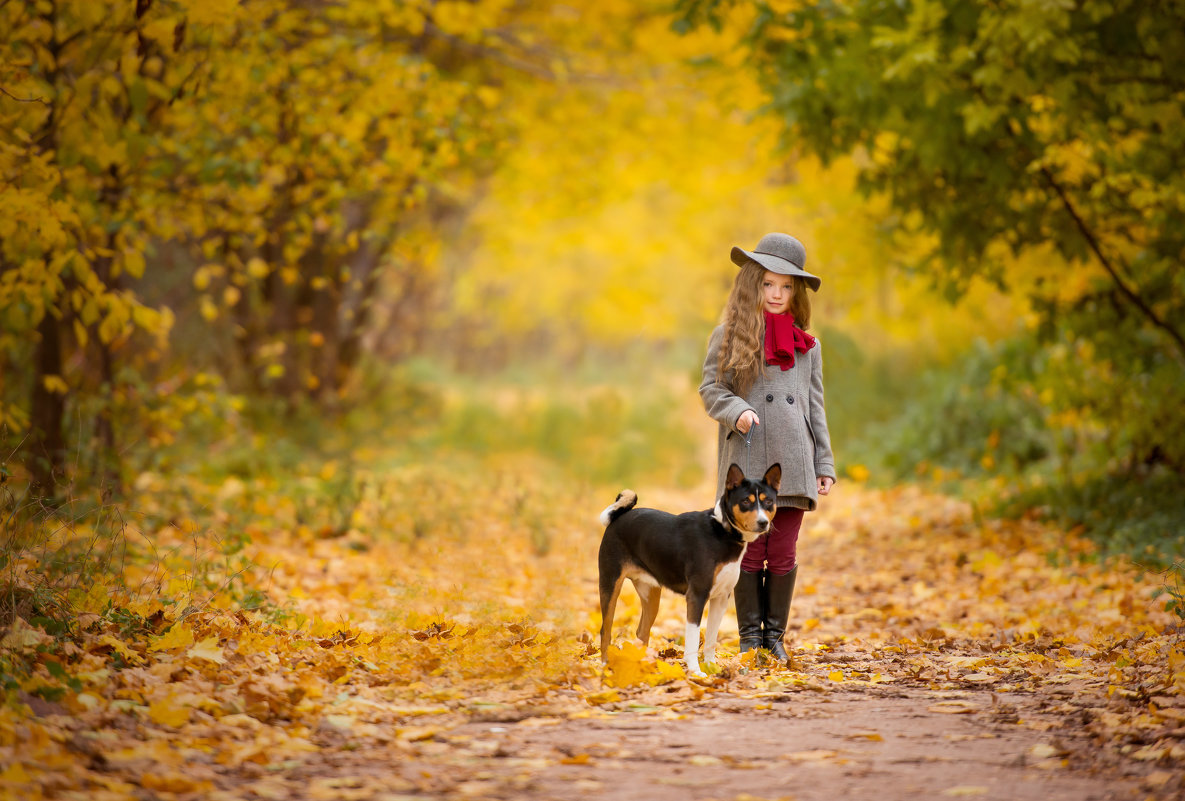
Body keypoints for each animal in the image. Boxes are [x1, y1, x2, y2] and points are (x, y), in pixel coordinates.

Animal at [597, 462, 782, 677]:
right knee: (605, 630)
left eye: (768, 502)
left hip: (650, 595)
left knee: (642, 632)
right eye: (745, 501)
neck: (722, 532)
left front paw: (711, 666)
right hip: (610, 585)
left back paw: (641, 667)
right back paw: (605, 667)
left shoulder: (721, 598)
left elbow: (711, 638)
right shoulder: (697, 595)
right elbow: (693, 638)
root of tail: (617, 518)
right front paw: (695, 670)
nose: (763, 523)